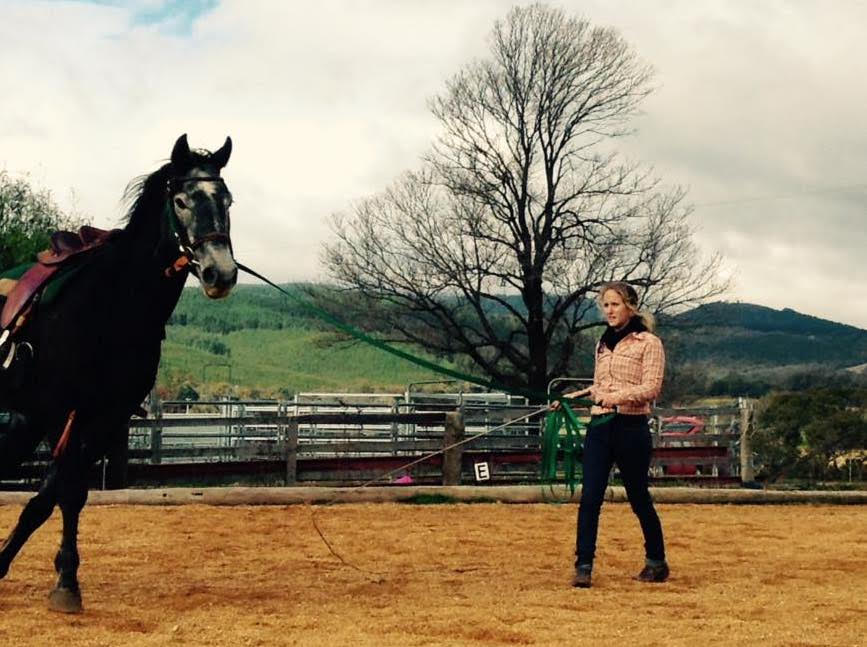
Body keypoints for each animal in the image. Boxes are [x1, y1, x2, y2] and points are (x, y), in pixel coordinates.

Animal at [0, 133, 237, 612]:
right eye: (182, 200)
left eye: (228, 201)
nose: (220, 273)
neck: (112, 305)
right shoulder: (60, 414)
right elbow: (64, 490)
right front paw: (62, 582)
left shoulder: (106, 418)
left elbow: (56, 497)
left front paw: (62, 578)